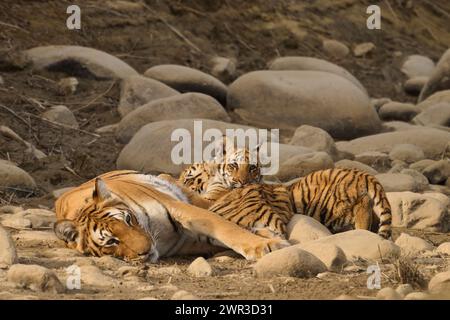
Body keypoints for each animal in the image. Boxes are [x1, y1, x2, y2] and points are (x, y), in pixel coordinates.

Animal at [52, 170, 288, 262]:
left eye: (128, 220)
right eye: (111, 241)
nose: (146, 250)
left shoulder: (181, 208)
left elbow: (225, 226)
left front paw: (267, 245)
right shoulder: (190, 241)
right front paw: (267, 241)